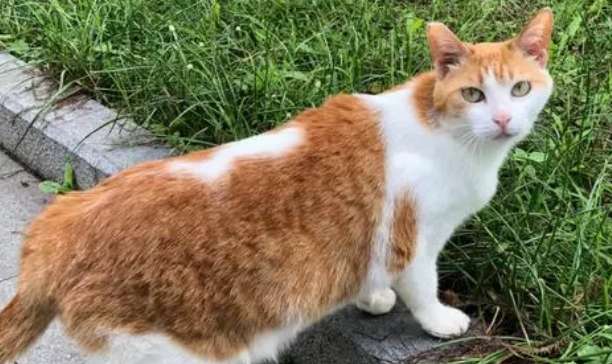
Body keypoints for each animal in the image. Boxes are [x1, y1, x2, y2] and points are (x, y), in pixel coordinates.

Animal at [0, 7, 556, 364]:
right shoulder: (414, 238)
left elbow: (370, 269)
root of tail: (57, 229)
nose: (504, 119)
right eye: (474, 94)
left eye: (520, 88)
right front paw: (439, 320)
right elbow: (422, 287)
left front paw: (372, 297)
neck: (447, 132)